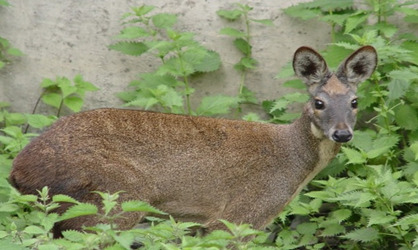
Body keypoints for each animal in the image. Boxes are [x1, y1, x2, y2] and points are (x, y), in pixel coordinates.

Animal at [9, 46, 378, 236]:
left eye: (355, 101)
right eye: (319, 102)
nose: (342, 133)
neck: (293, 164)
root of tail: (17, 172)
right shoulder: (240, 214)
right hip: (114, 197)